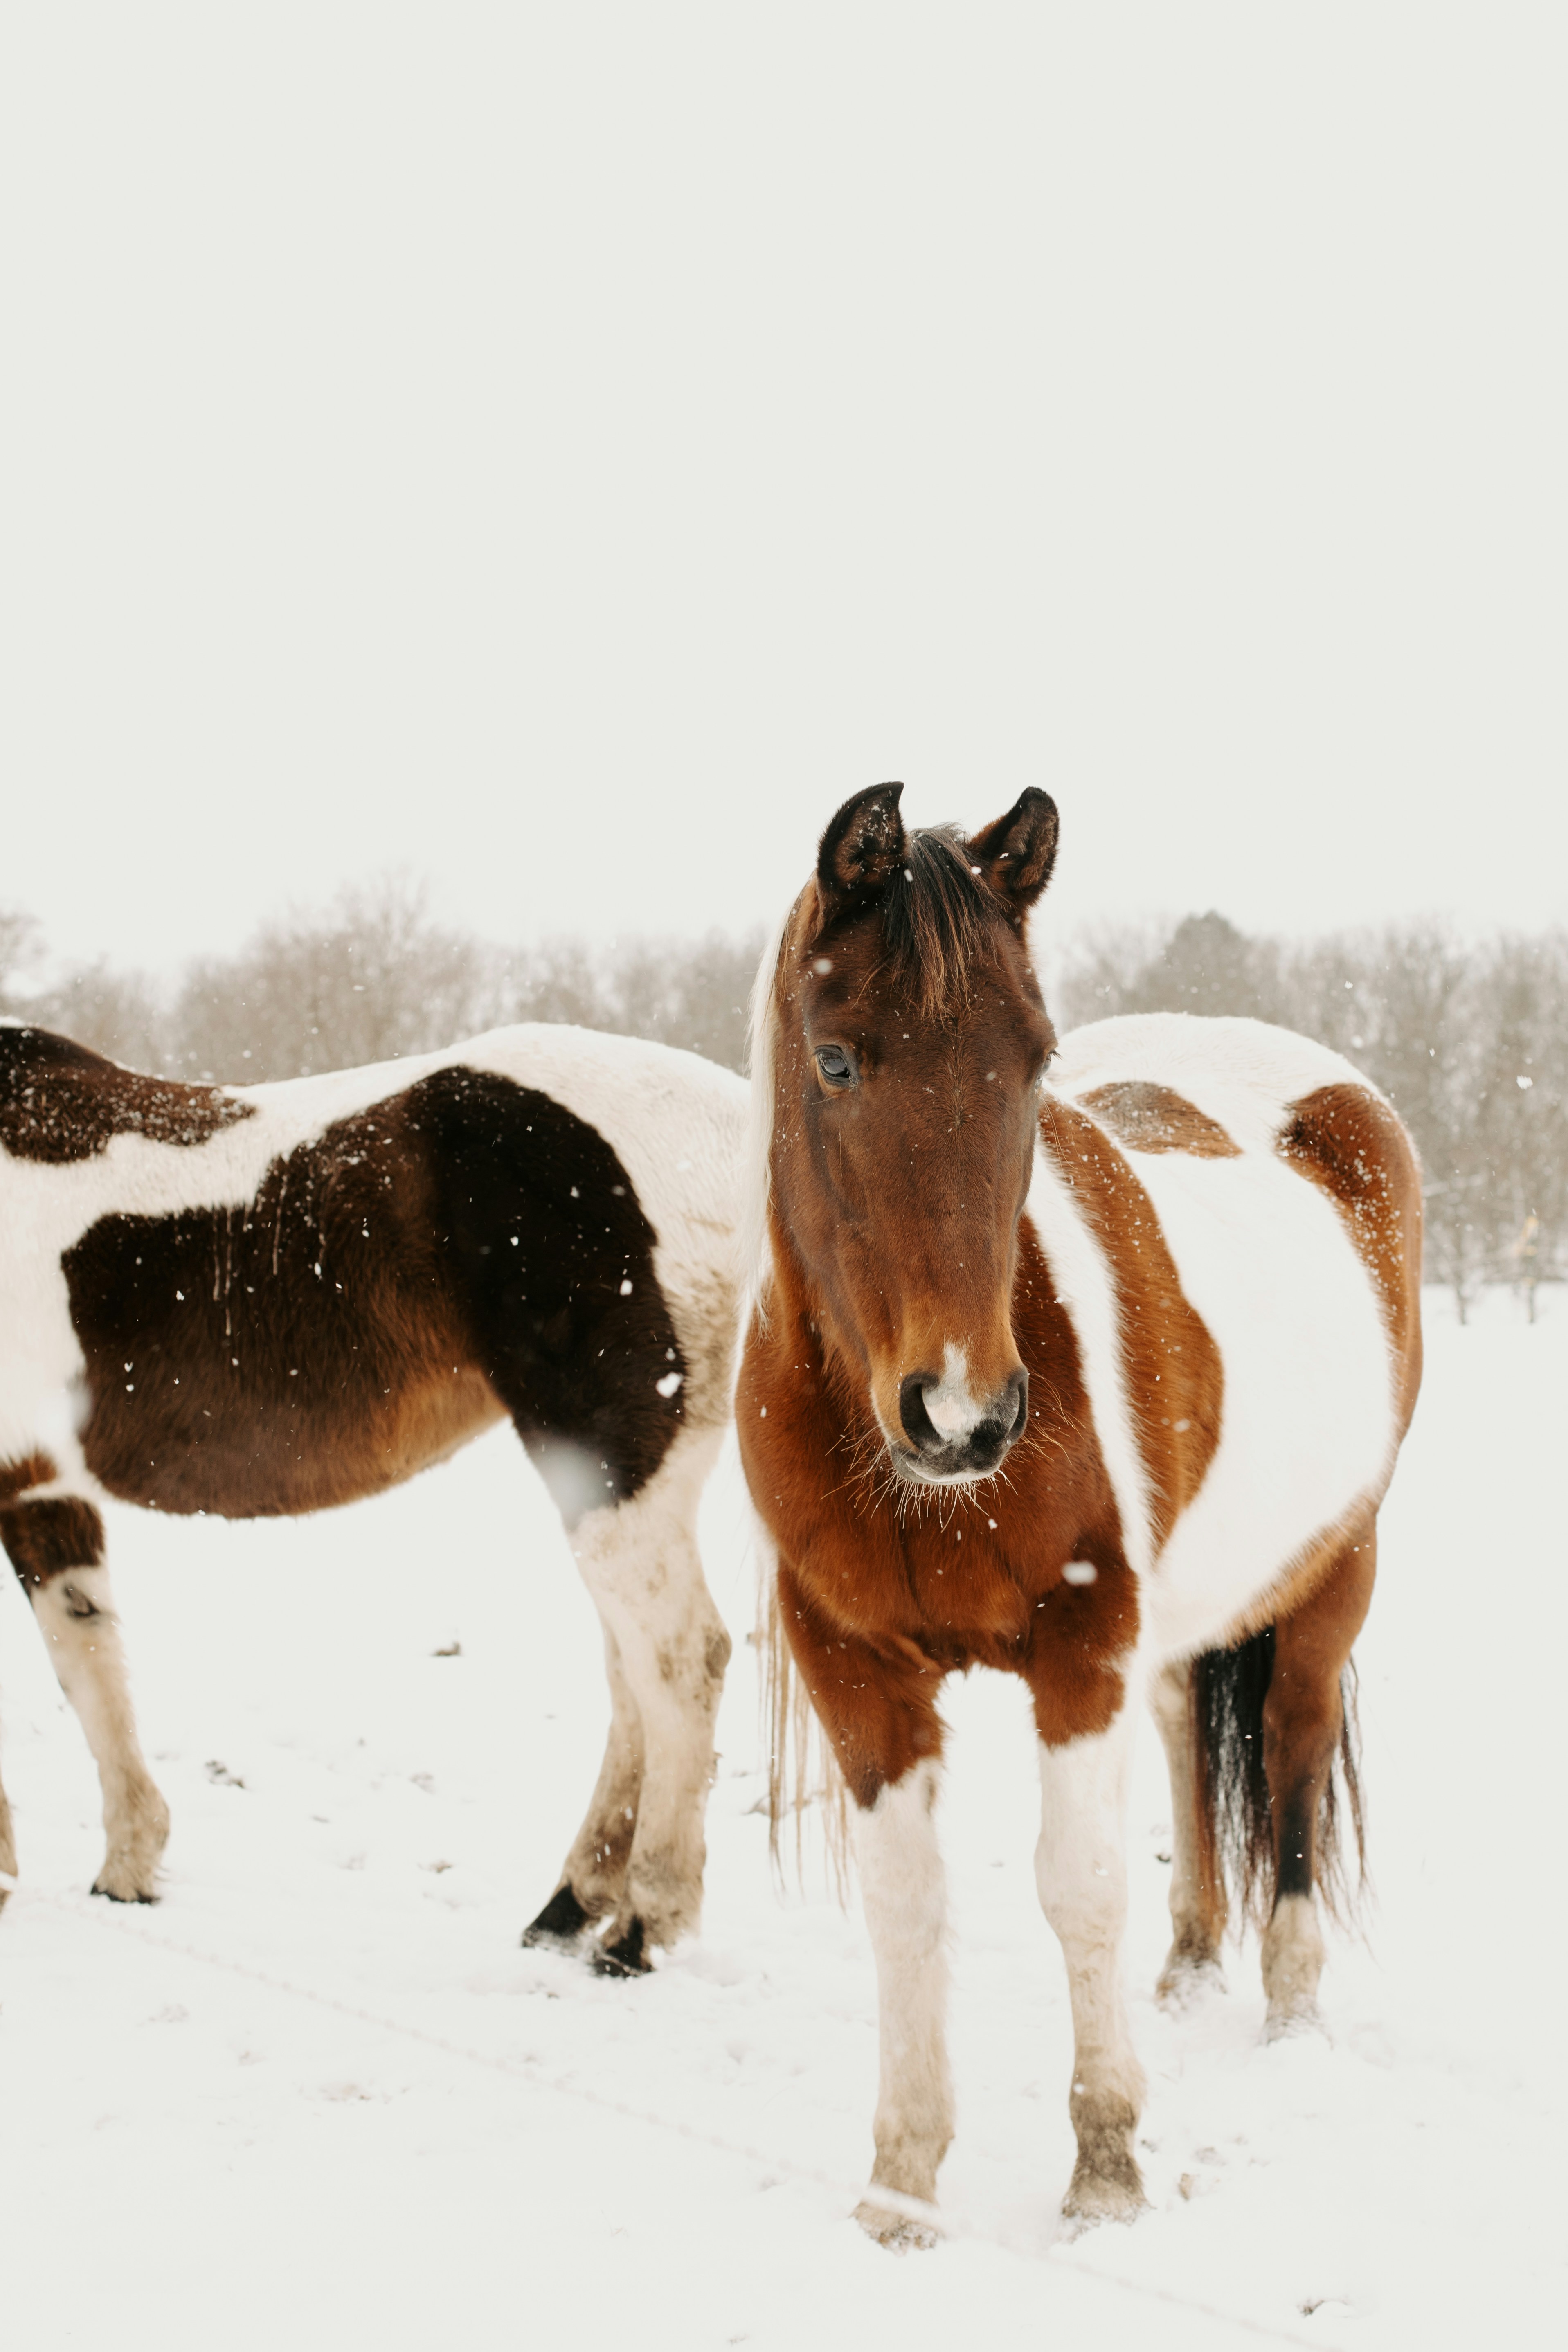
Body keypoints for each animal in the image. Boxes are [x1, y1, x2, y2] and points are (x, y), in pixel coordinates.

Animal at [0, 1017, 747, 1974]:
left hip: (608, 1465)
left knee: (680, 1660)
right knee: (633, 1674)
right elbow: (89, 1660)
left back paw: (638, 1925)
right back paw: (568, 1908)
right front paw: (126, 1866)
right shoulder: (40, 1485)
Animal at [738, 782, 1421, 2240]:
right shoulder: (852, 1662)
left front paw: (1105, 2164)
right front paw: (900, 2184)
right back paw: (1189, 1965)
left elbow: (1078, 1883)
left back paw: (1286, 2012)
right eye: (837, 1061)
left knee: (1286, 1757)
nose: (963, 1414)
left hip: (1331, 1574)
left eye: (1032, 1059)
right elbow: (906, 1901)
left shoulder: (1080, 1645)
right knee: (1186, 1741)